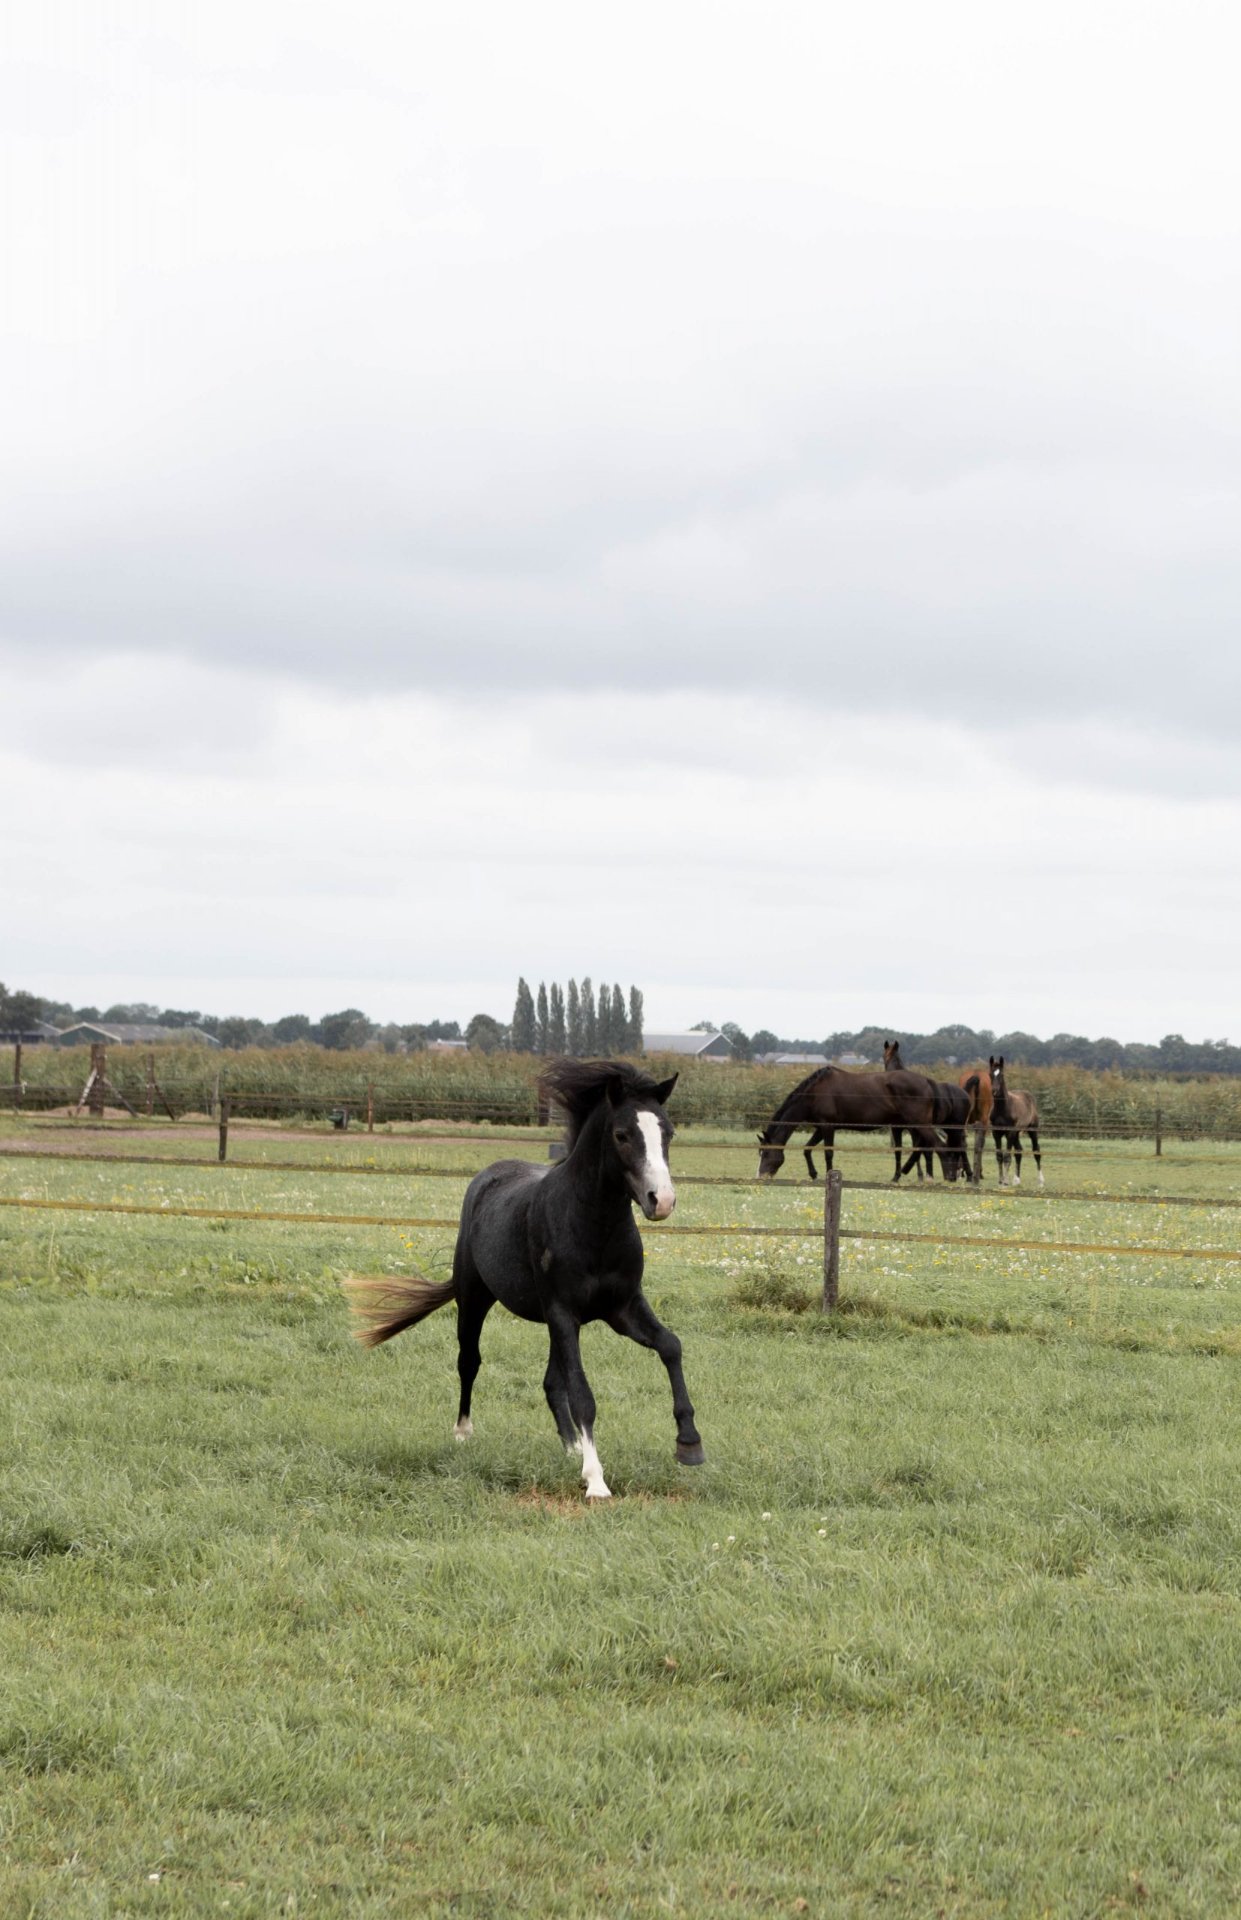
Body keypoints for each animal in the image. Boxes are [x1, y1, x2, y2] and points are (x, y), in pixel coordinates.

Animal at [343, 1059, 702, 1501]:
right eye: (622, 1135)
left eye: (668, 1132)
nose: (661, 1201)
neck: (593, 1227)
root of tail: (489, 1176)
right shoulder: (563, 1311)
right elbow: (582, 1393)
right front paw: (596, 1481)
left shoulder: (622, 1307)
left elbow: (670, 1345)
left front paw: (689, 1444)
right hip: (476, 1299)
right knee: (469, 1361)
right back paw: (463, 1433)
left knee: (550, 1381)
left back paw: (572, 1448)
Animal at [757, 1059, 944, 1181]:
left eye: (765, 1153)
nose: (760, 1176)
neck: (814, 1094)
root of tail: (927, 1081)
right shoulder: (821, 1128)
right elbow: (807, 1149)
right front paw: (814, 1174)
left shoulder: (828, 1127)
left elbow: (828, 1153)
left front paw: (828, 1175)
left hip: (918, 1125)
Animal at [987, 1056, 1043, 1187]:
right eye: (990, 1074)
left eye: (1001, 1074)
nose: (994, 1091)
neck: (1002, 1108)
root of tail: (1029, 1096)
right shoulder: (996, 1133)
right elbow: (999, 1155)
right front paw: (1001, 1180)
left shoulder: (1009, 1132)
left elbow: (1007, 1156)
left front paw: (1005, 1181)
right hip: (1017, 1133)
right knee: (1019, 1151)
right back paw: (1016, 1180)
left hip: (1032, 1130)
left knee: (1036, 1150)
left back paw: (1040, 1181)